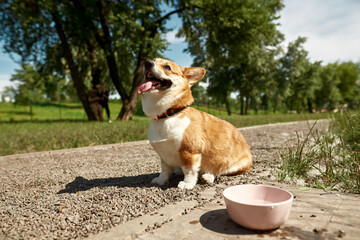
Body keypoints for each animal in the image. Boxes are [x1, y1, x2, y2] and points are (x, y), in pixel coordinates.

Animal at [138, 58, 253, 189]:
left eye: (167, 67)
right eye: (153, 60)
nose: (147, 62)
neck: (169, 115)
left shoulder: (189, 152)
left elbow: (190, 171)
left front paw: (187, 184)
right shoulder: (164, 156)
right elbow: (165, 170)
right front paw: (161, 180)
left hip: (233, 166)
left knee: (219, 171)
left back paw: (207, 177)